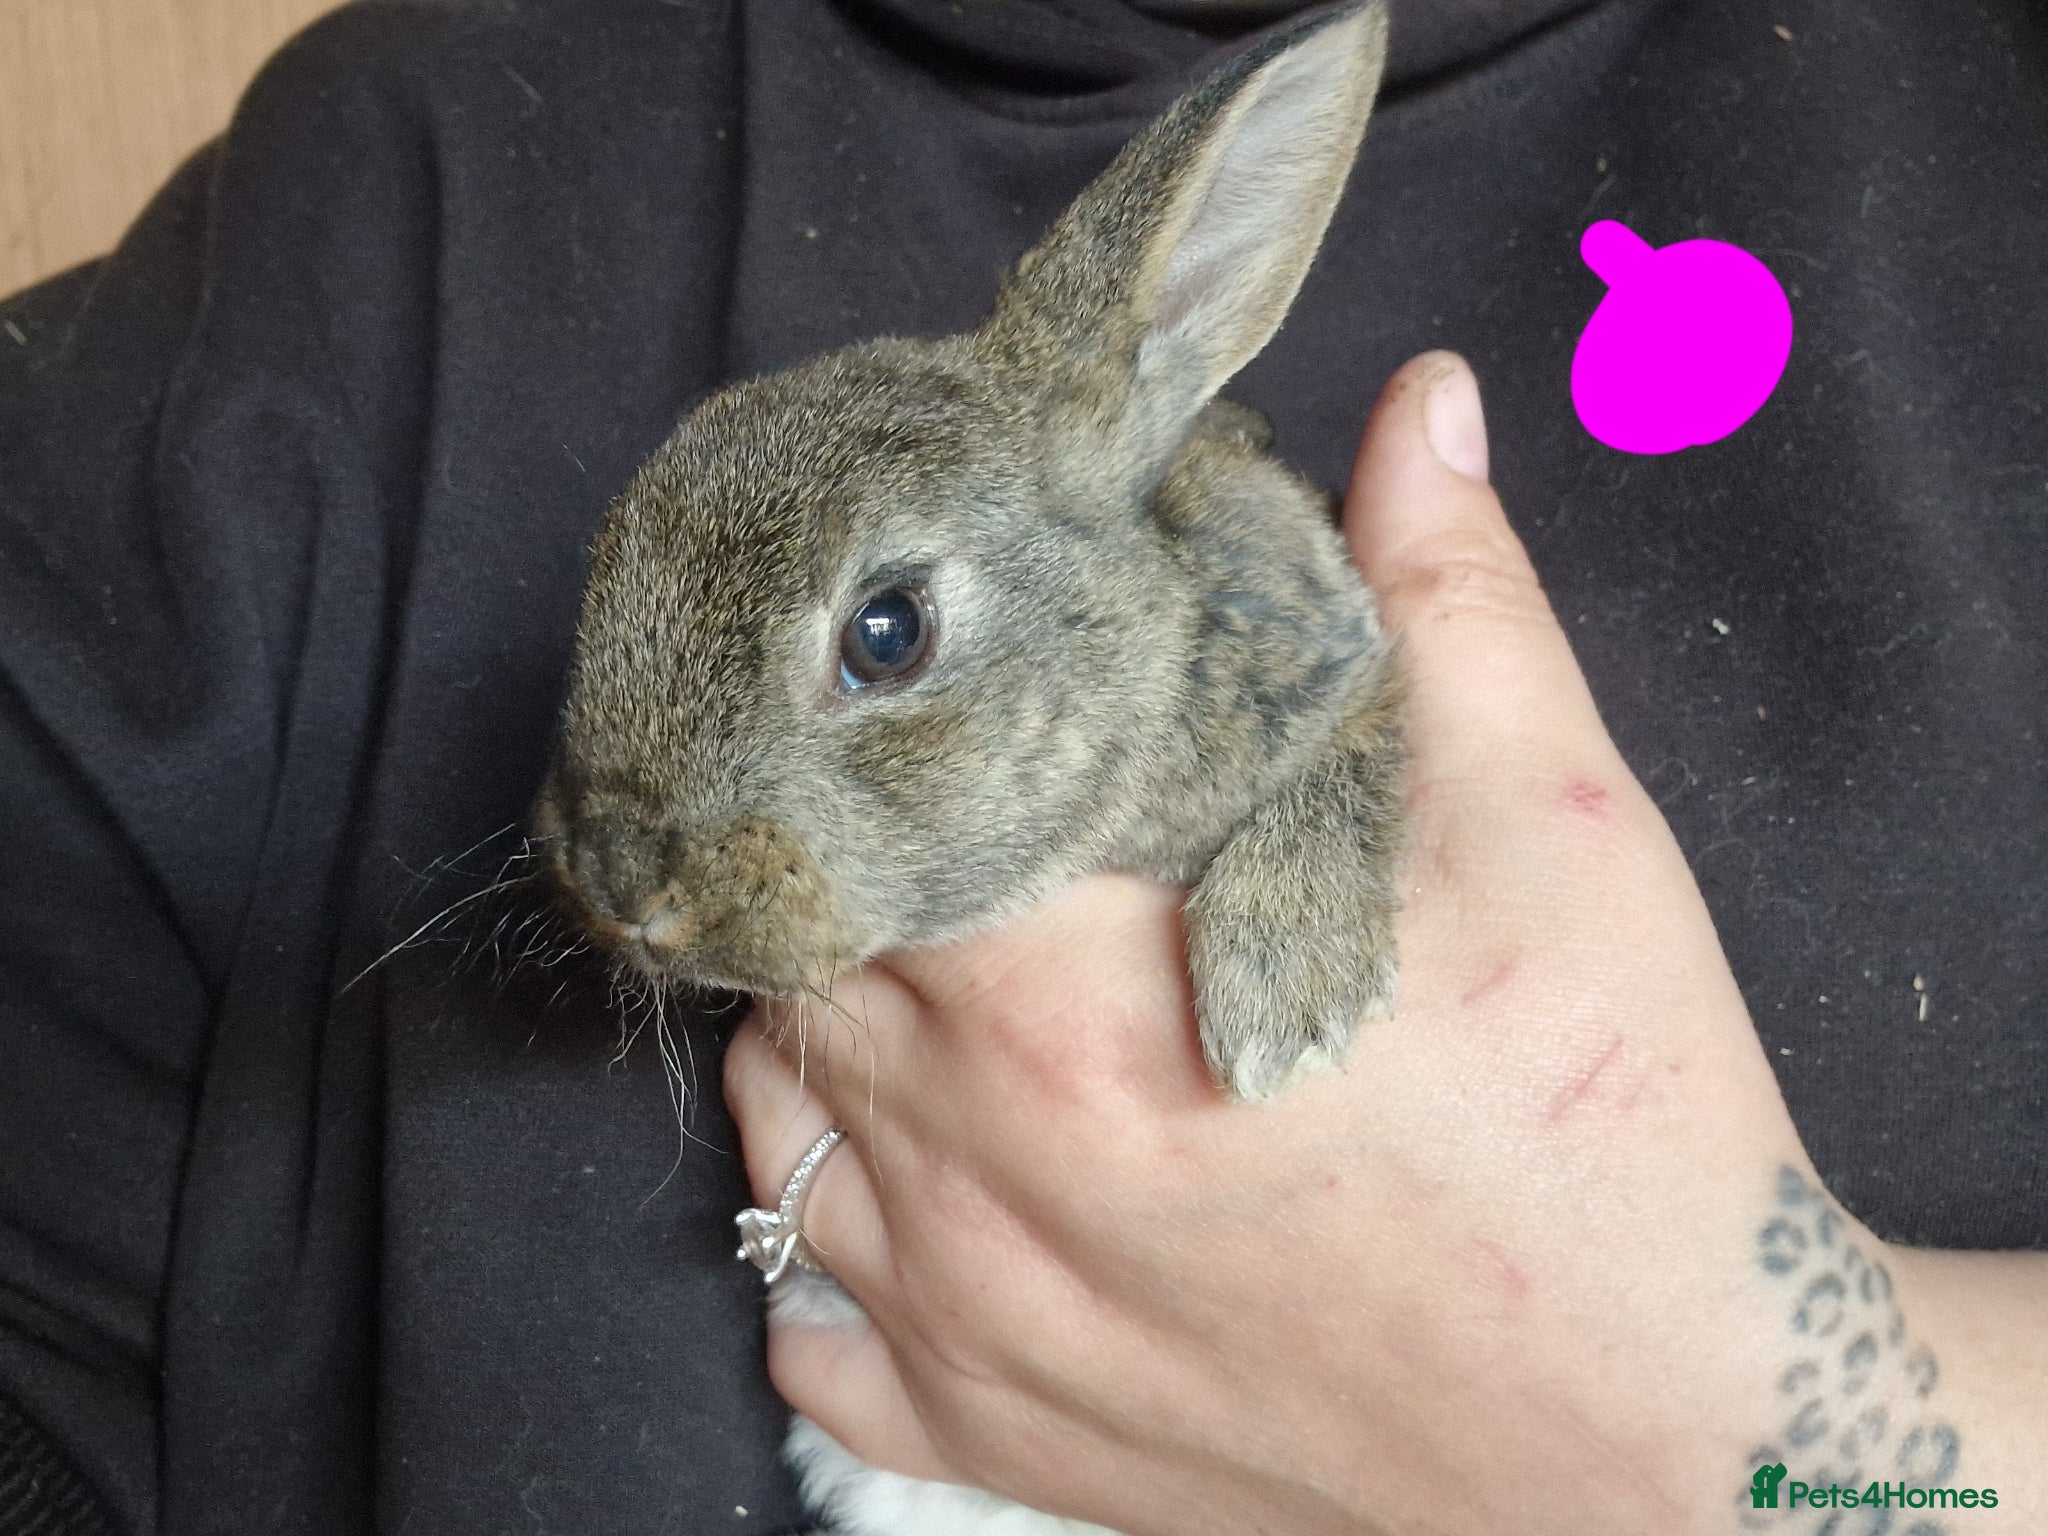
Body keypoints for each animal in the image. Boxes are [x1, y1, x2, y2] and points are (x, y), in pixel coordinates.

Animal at [532, 3, 1400, 1531]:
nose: (624, 878)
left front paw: (1282, 1000)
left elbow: (1347, 756)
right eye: (607, 567)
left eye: (886, 633)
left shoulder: (1342, 675)